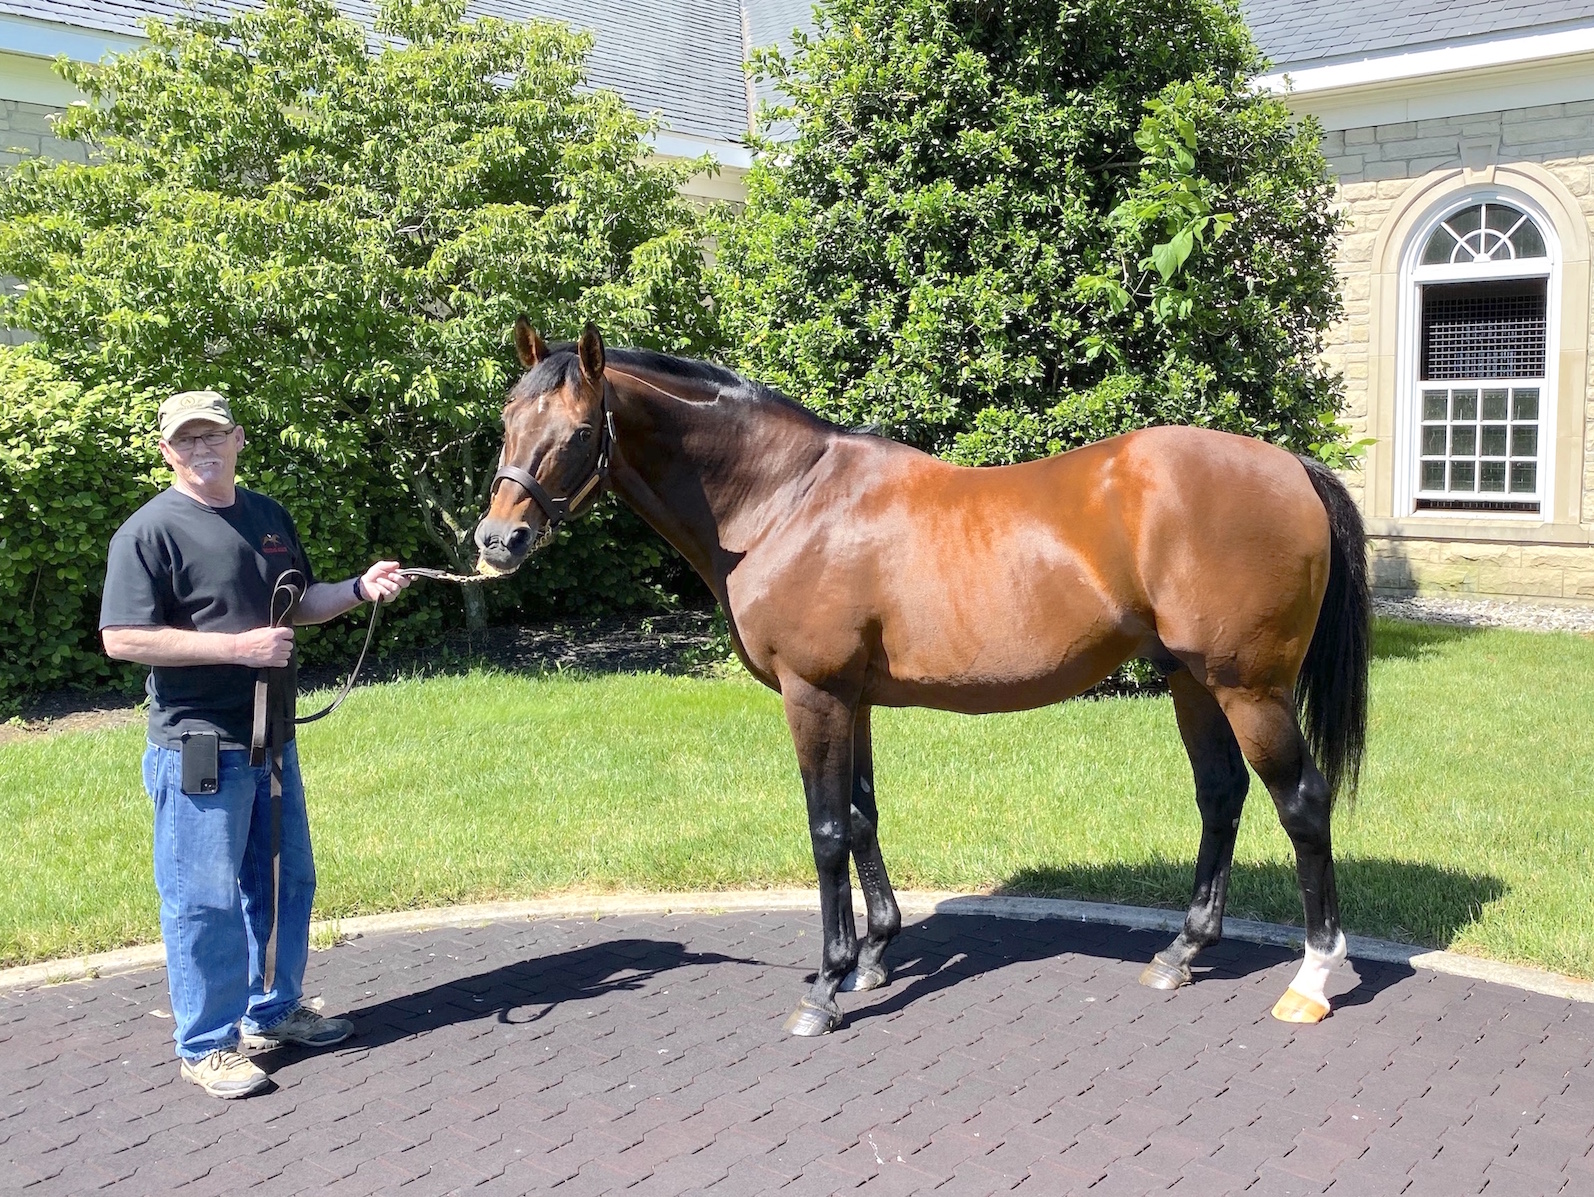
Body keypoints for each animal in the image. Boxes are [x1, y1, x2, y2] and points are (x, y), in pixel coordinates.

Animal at [471, 320, 1370, 1039]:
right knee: (1221, 795)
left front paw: (826, 986)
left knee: (1301, 803)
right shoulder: (854, 698)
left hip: (1248, 688)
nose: (496, 540)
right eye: (508, 421)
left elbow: (826, 831)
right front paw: (874, 954)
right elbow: (862, 816)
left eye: (578, 431)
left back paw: (1312, 978)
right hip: (1192, 681)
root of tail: (1291, 465)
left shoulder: (815, 694)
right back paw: (1180, 951)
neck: (785, 500)